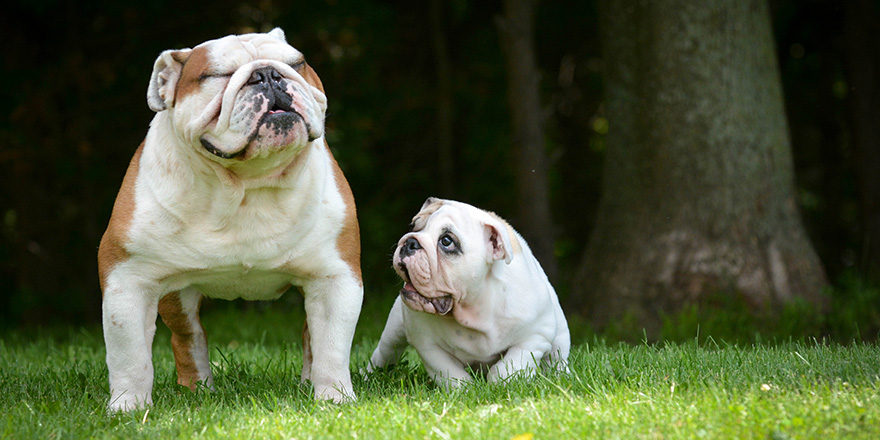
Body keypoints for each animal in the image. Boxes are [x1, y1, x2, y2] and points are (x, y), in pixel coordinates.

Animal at [94, 29, 360, 410]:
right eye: (217, 75)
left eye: (297, 63)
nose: (268, 74)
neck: (246, 184)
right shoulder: (128, 280)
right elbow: (129, 357)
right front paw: (128, 407)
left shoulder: (335, 278)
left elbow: (332, 349)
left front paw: (334, 399)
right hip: (176, 297)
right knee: (188, 337)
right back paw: (198, 389)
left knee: (312, 337)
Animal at [366, 199, 568, 388]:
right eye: (413, 226)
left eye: (447, 241)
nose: (410, 241)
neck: (472, 308)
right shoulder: (428, 345)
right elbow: (449, 373)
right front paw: (466, 389)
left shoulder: (535, 336)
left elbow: (509, 366)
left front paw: (501, 384)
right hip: (394, 330)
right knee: (385, 352)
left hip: (559, 338)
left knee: (556, 359)